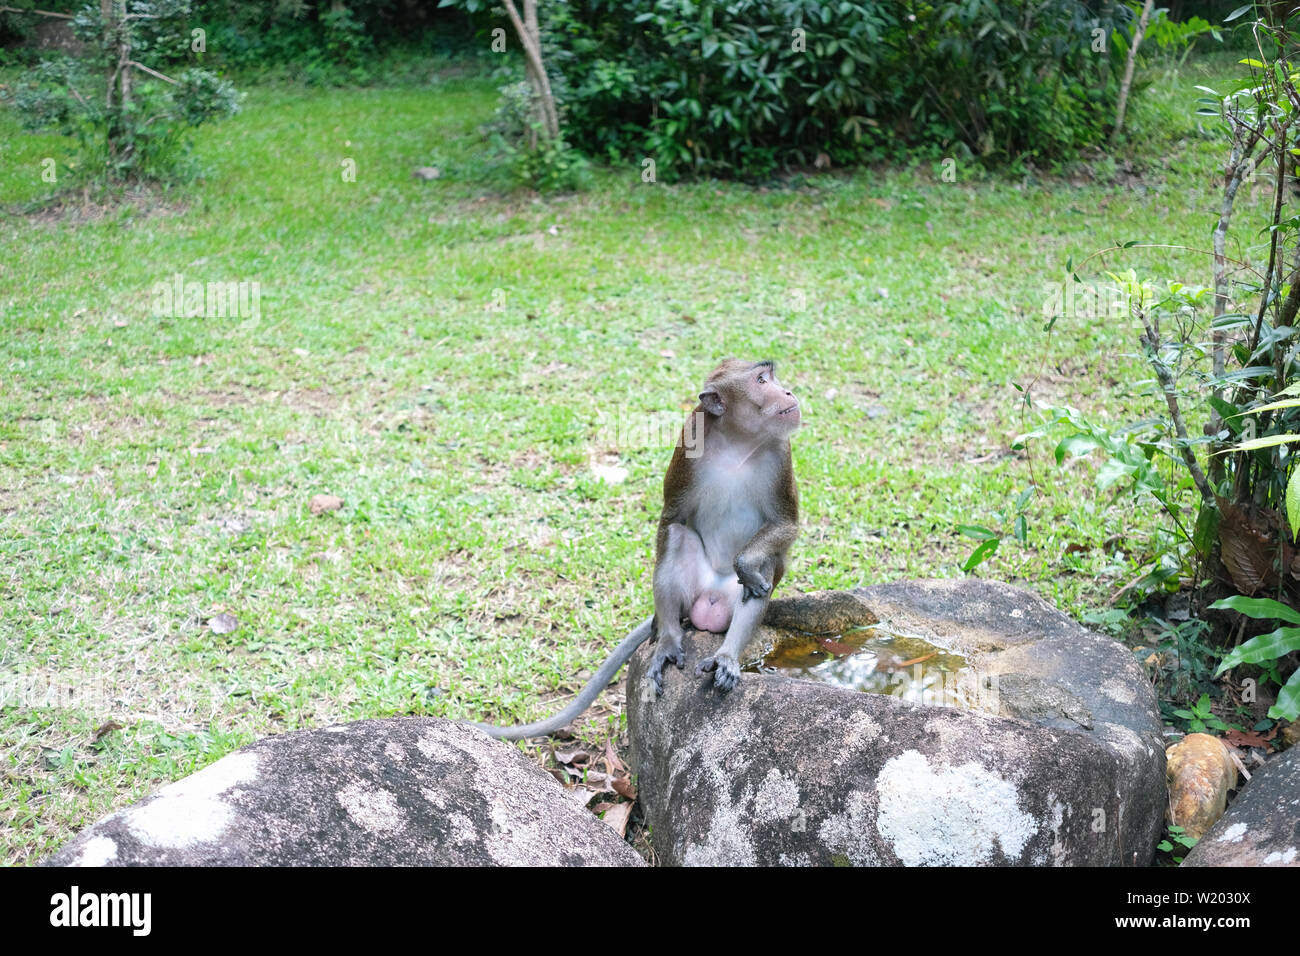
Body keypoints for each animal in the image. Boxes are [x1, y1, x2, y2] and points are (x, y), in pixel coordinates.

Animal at [467, 358, 790, 738]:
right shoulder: (689, 445)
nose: (787, 392)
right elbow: (671, 518)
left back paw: (727, 652)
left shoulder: (781, 453)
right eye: (761, 380)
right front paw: (662, 631)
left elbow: (785, 525)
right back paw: (668, 638)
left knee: (762, 567)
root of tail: (709, 601)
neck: (738, 442)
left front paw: (745, 565)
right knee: (677, 536)